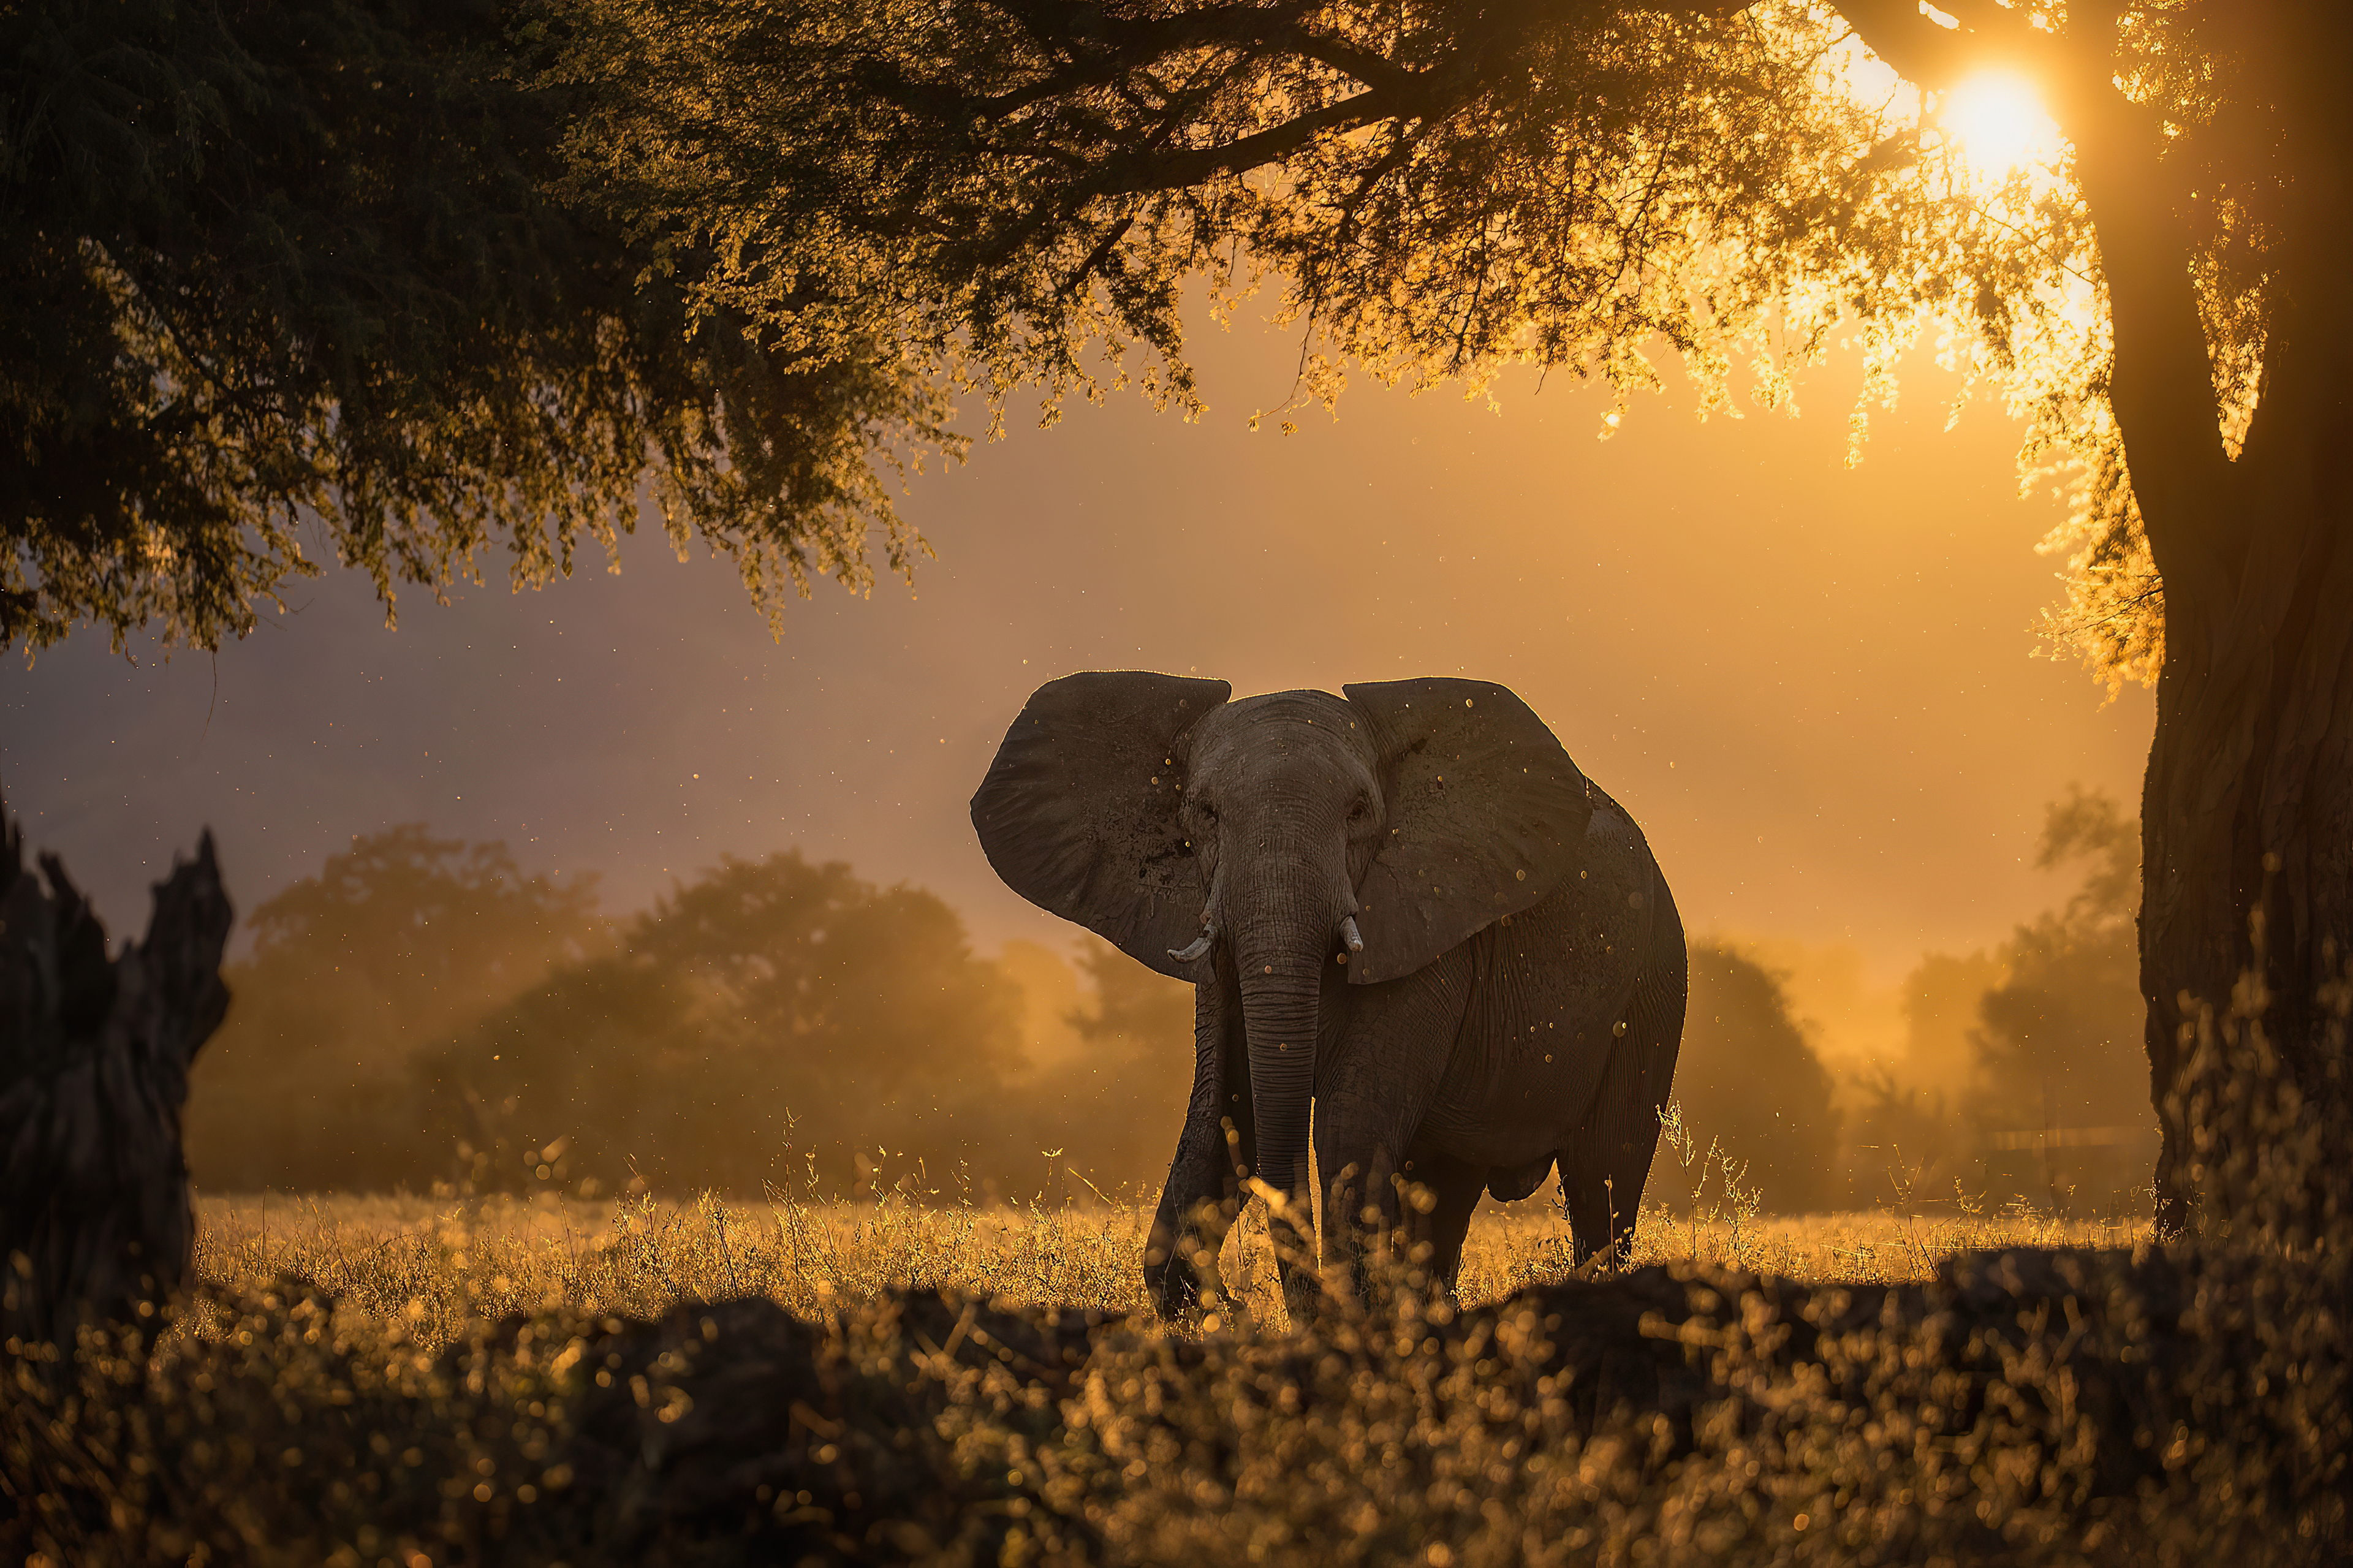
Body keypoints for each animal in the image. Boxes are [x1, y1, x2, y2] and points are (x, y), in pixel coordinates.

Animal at [964, 673, 1684, 1318]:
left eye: (1360, 813)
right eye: (1205, 814)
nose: (1234, 1301)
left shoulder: (1425, 928)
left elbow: (1348, 1122)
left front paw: (1345, 1313)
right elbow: (1226, 1109)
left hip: (1654, 980)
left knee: (1603, 1182)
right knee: (1444, 1187)